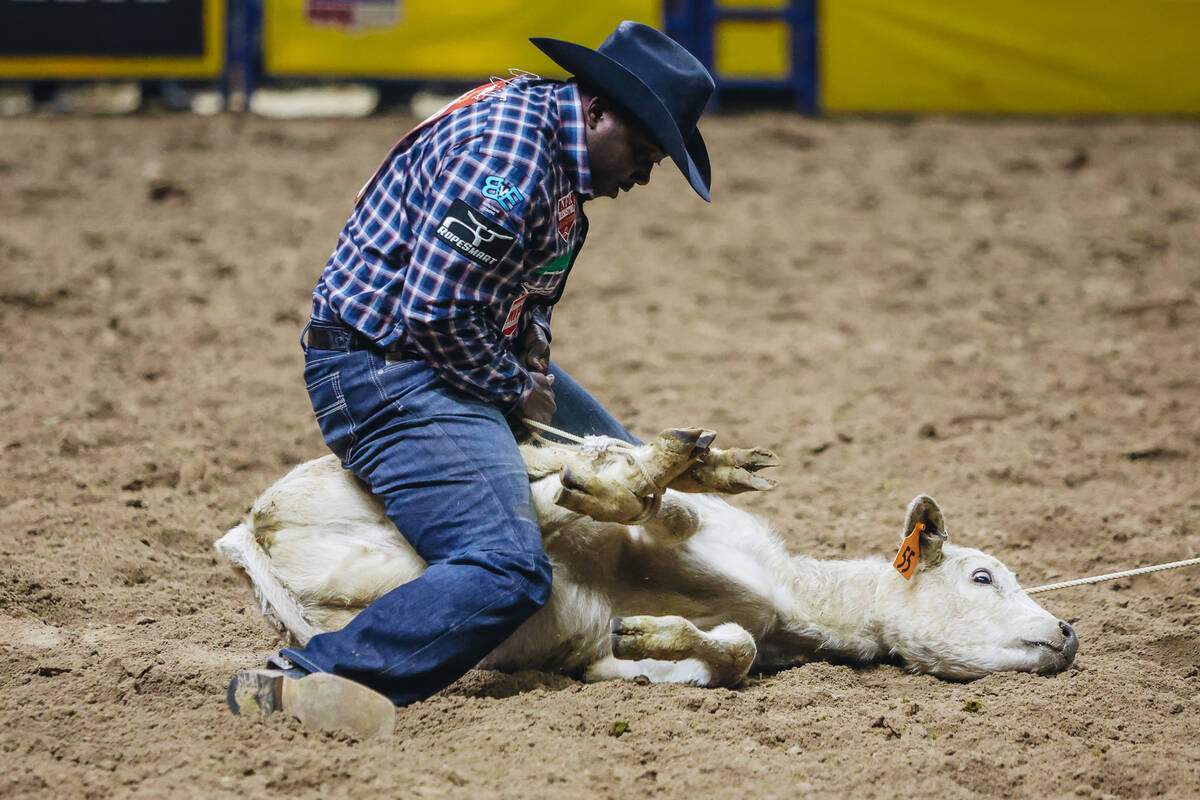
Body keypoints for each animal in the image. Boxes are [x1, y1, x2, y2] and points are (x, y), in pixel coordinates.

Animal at [216, 431, 1080, 690]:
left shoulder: (610, 663)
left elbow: (726, 654)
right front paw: (655, 477)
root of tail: (250, 532)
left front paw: (649, 635)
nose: (1070, 631)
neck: (790, 595)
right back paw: (654, 463)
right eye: (982, 575)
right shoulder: (685, 535)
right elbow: (665, 513)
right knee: (555, 493)